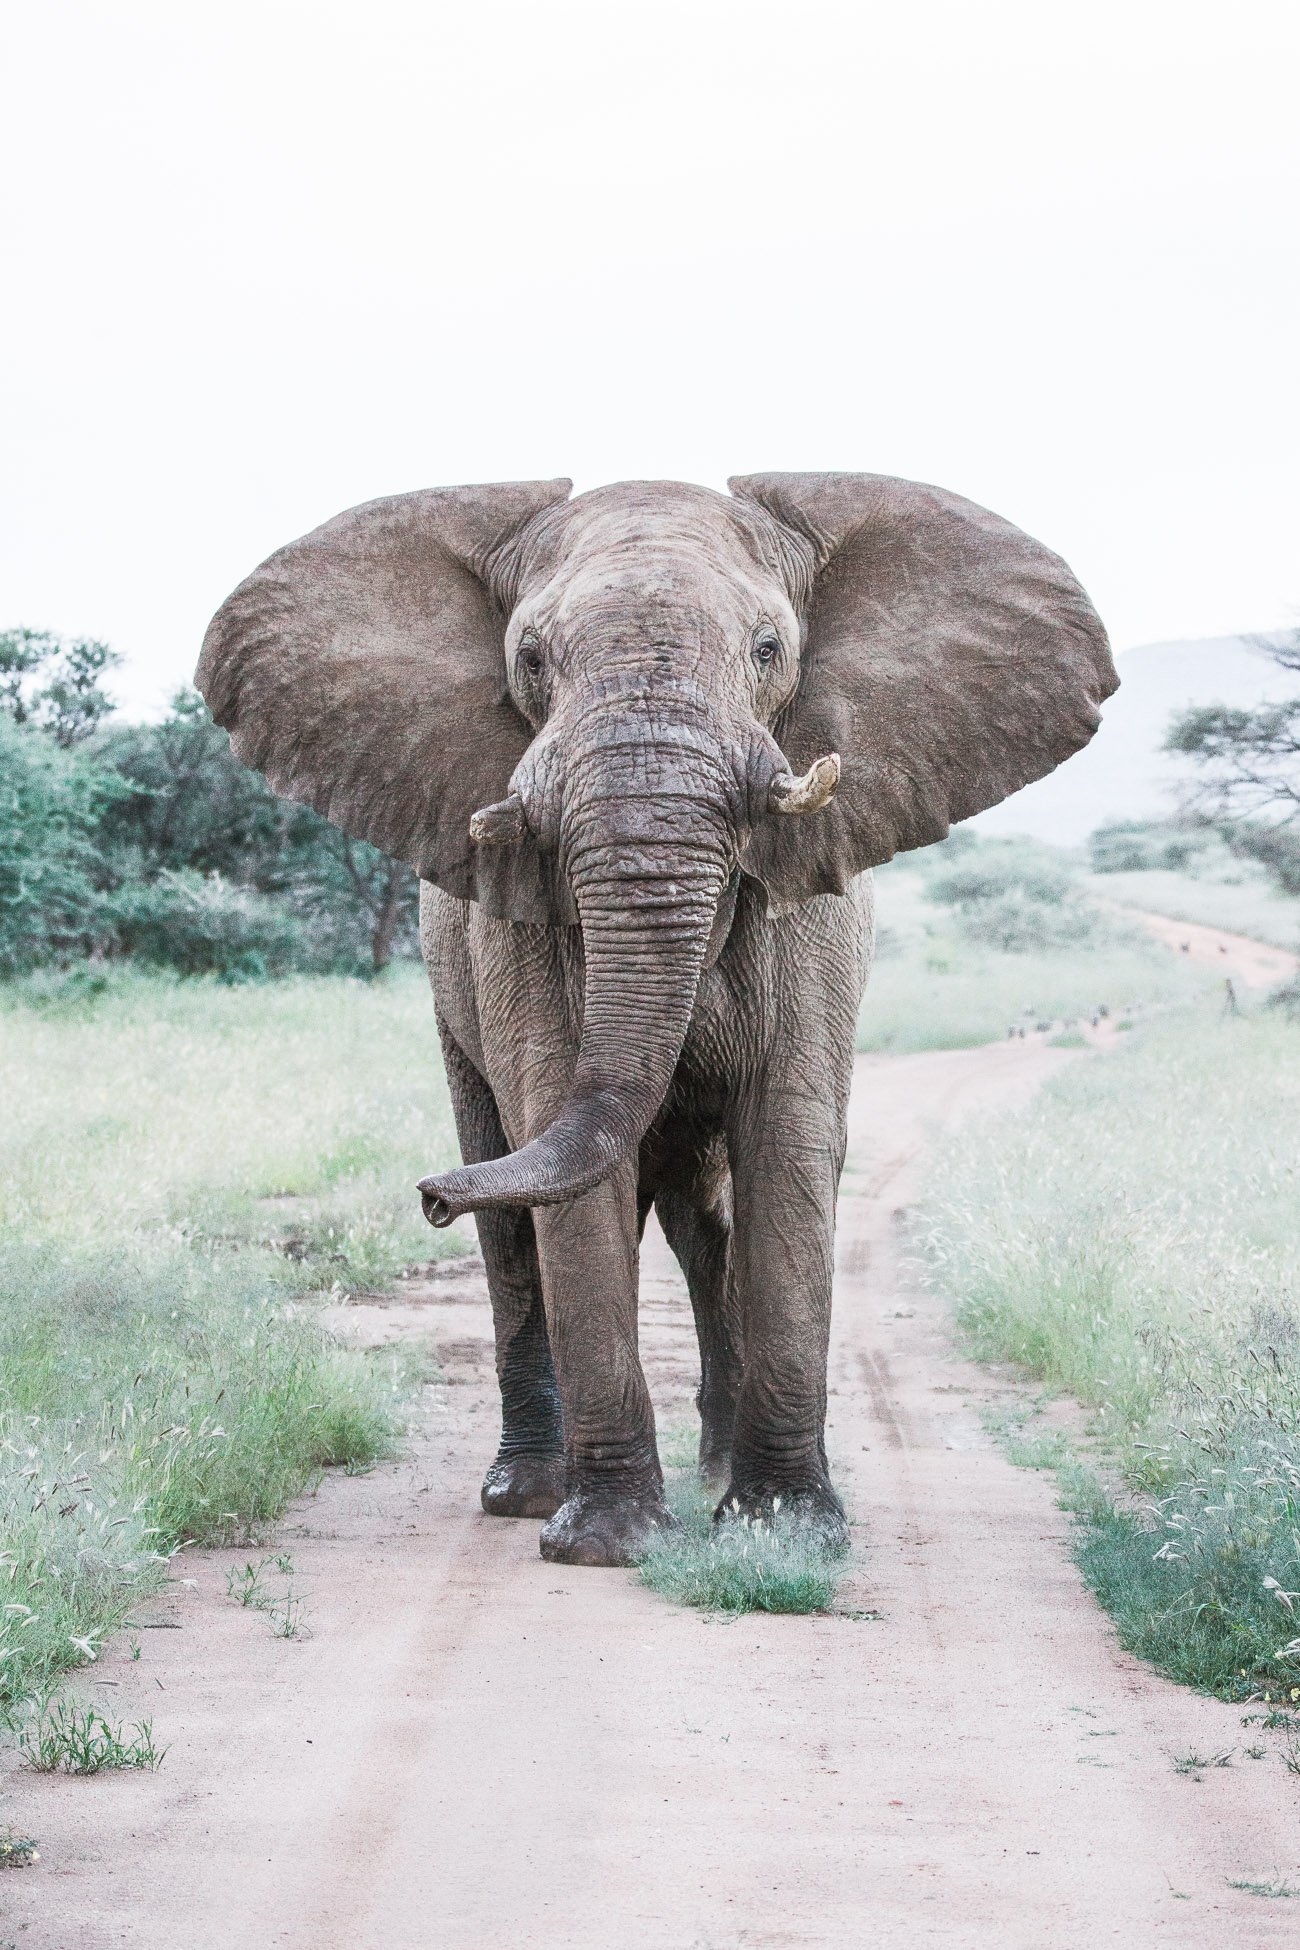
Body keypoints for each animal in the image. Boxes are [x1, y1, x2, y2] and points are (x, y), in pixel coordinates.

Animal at [195, 471, 1122, 1567]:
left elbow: (790, 1144)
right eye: (530, 659)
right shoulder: (519, 928)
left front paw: (784, 1535)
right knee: (514, 1211)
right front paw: (606, 1543)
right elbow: (565, 1161)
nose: (426, 1197)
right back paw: (524, 1491)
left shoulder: (814, 915)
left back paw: (715, 1470)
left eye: (767, 649)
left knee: (702, 1223)